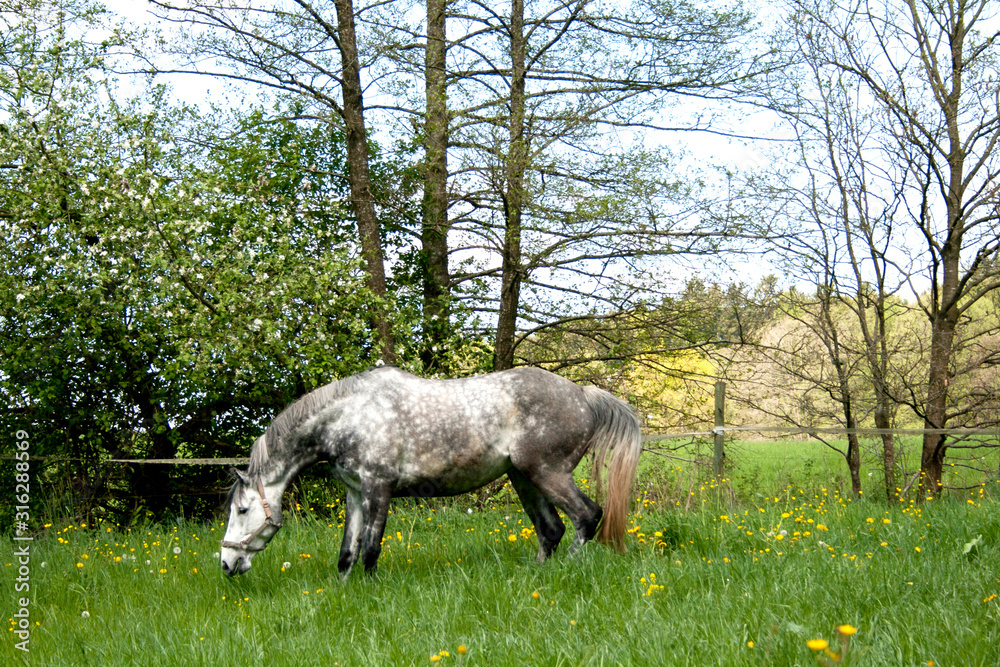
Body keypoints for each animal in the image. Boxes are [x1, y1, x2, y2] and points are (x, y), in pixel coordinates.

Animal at [220, 365, 642, 578]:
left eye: (242, 510)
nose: (226, 564)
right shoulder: (355, 493)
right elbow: (347, 553)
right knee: (550, 530)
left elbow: (370, 548)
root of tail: (583, 394)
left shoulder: (378, 488)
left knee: (587, 516)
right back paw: (534, 578)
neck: (350, 415)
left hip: (547, 473)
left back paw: (567, 570)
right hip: (523, 478)